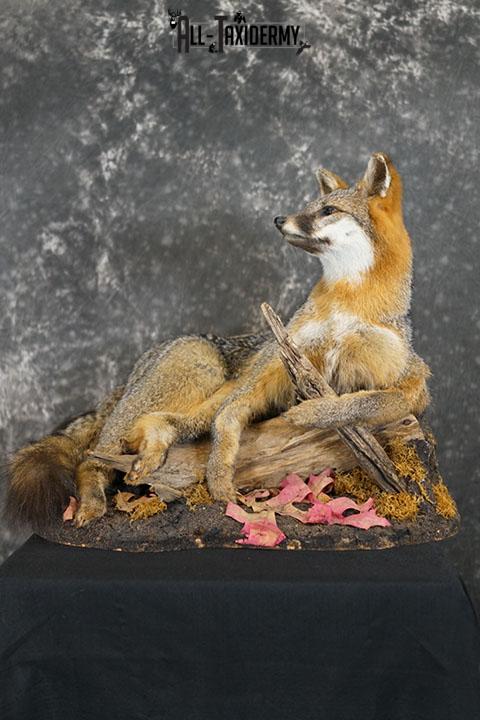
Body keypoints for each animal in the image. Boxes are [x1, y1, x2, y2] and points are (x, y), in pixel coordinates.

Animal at [5, 152, 430, 529]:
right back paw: (92, 504)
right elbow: (228, 424)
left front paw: (313, 412)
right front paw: (220, 477)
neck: (346, 309)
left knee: (162, 423)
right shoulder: (279, 361)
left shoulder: (413, 381)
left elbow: (375, 399)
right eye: (308, 206)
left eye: (328, 210)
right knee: (94, 457)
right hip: (203, 370)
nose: (278, 218)